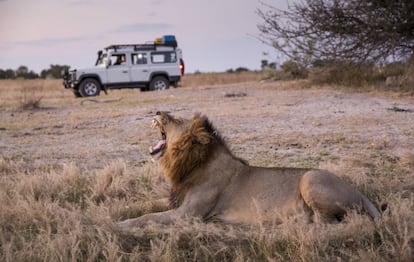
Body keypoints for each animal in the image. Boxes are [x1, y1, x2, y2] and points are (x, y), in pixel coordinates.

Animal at [115, 111, 380, 232]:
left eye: (175, 119)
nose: (157, 111)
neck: (189, 163)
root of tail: (360, 193)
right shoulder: (176, 201)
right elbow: (146, 206)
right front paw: (118, 212)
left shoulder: (189, 214)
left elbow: (149, 217)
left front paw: (121, 224)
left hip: (310, 178)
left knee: (325, 223)